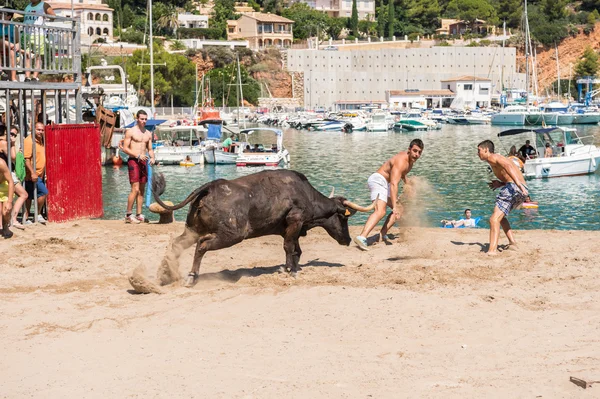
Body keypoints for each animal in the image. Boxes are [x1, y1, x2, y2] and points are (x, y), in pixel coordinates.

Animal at [152, 169, 372, 284]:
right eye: (344, 218)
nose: (347, 239)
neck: (306, 194)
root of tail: (211, 187)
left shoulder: (292, 229)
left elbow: (296, 250)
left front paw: (293, 267)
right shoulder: (295, 221)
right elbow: (289, 247)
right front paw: (290, 269)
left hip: (193, 229)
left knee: (177, 244)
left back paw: (166, 273)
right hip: (231, 234)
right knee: (202, 245)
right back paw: (191, 276)